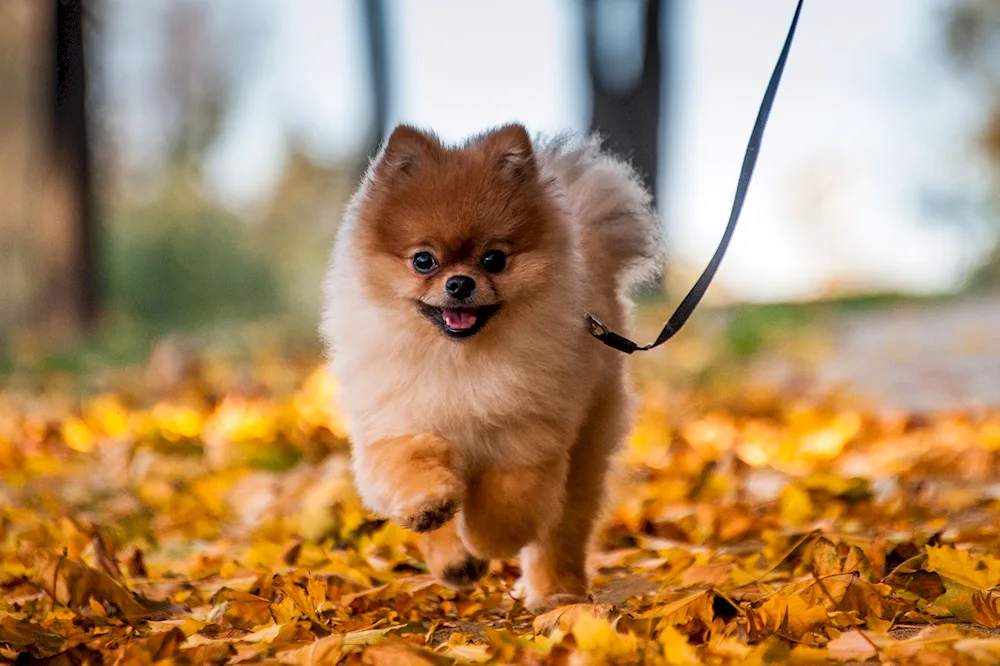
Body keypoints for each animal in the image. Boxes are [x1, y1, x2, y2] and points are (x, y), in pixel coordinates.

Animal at [324, 122, 660, 608]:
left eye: (494, 259)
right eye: (423, 260)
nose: (460, 283)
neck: (459, 359)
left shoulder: (526, 440)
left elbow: (507, 502)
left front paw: (487, 540)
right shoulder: (396, 424)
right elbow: (413, 466)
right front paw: (433, 514)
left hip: (586, 449)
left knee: (562, 529)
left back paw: (557, 593)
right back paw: (456, 561)